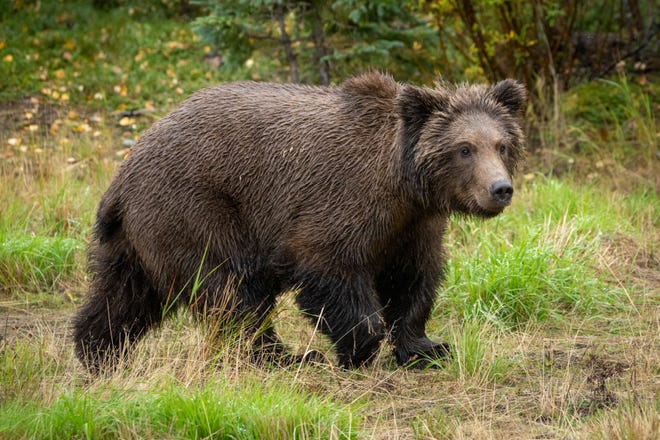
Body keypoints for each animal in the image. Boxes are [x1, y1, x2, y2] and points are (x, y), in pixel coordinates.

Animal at [73, 72, 526, 372]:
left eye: (501, 144)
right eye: (465, 148)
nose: (500, 188)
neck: (403, 183)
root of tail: (125, 171)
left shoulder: (413, 226)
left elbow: (413, 280)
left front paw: (427, 347)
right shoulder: (342, 205)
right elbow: (331, 269)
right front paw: (358, 349)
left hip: (138, 233)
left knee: (125, 292)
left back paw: (97, 352)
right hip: (197, 210)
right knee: (232, 291)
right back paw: (284, 356)